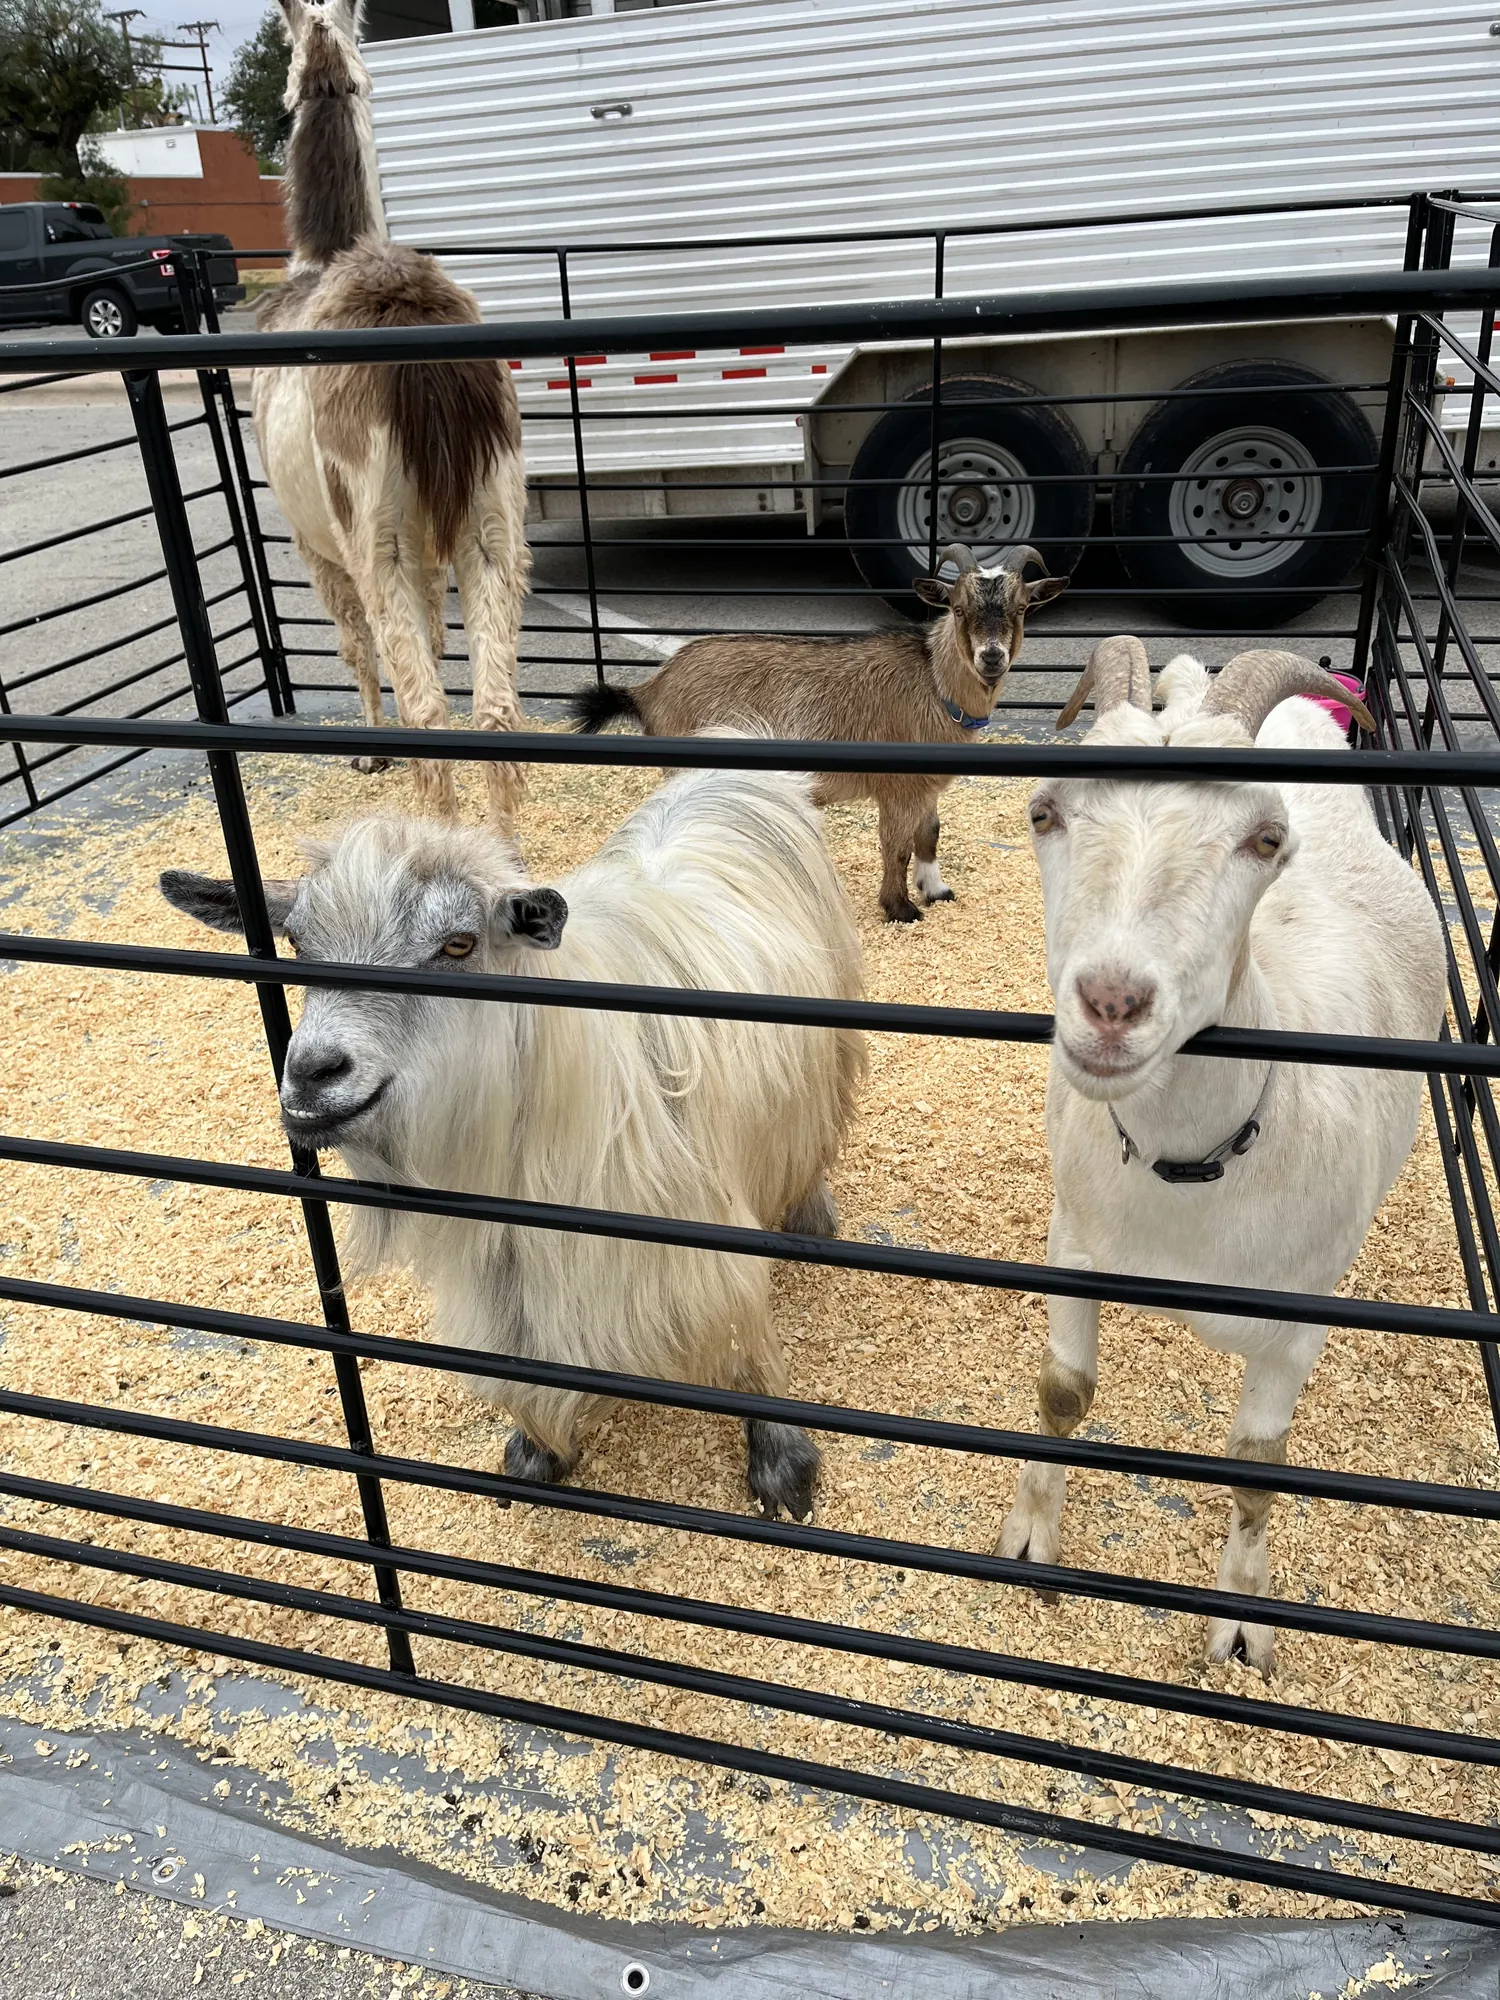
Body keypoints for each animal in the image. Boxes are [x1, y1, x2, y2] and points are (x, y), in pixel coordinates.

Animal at [159, 768, 866, 1522]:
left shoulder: (707, 1234)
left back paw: (811, 1221)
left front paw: (783, 1464)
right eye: (297, 945)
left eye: (458, 945)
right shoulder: (508, 1264)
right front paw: (536, 1452)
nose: (312, 1073)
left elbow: (747, 1334)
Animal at [569, 543, 1068, 923]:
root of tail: (650, 689)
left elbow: (929, 834)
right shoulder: (897, 788)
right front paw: (900, 909)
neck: (933, 681)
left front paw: (936, 889)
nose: (991, 657)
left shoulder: (926, 787)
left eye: (1021, 608)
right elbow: (896, 848)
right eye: (959, 608)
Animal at [998, 639, 1444, 1673]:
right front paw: (1033, 1535)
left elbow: (1257, 1467)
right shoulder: (1074, 1238)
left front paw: (1243, 1617)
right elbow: (1064, 1389)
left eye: (1266, 840)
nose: (1111, 1003)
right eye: (1045, 811)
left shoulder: (1300, 1320)